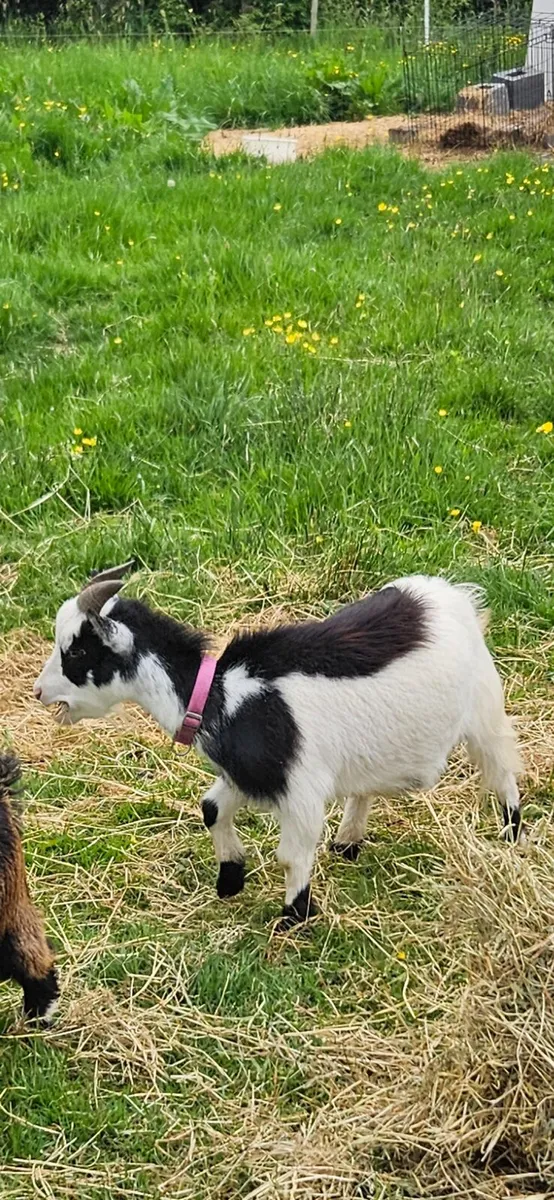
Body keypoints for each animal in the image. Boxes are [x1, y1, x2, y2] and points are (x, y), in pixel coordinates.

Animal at [34, 564, 523, 928]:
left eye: (76, 652)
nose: (39, 692)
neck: (223, 695)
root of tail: (450, 595)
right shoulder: (251, 775)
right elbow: (211, 808)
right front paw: (230, 879)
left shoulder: (300, 790)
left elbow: (291, 855)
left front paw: (295, 916)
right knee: (364, 786)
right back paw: (347, 842)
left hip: (484, 709)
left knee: (502, 770)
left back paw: (511, 833)